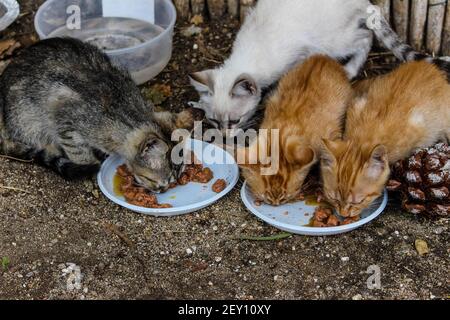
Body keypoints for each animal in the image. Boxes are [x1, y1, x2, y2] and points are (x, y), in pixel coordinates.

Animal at [188, 0, 384, 136]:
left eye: (235, 120)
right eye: (214, 121)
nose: (224, 136)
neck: (250, 54)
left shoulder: (300, 55)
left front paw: (271, 94)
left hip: (334, 42)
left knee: (367, 36)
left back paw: (350, 69)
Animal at [241, 55, 354, 205]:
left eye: (285, 197)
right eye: (265, 197)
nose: (276, 203)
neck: (282, 132)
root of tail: (323, 57)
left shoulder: (332, 135)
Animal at [322, 60, 448, 218]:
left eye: (358, 201)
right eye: (333, 198)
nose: (343, 214)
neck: (364, 140)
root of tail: (430, 66)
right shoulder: (356, 107)